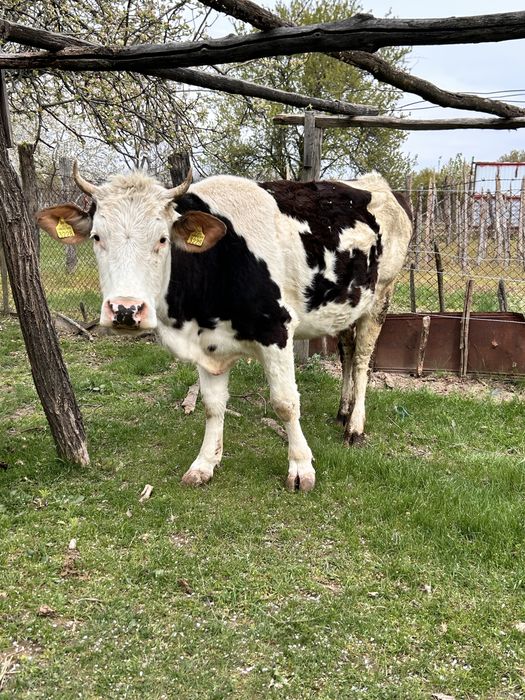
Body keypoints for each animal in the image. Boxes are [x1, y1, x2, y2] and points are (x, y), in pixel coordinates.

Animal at [37, 165, 412, 492]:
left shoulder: (277, 330)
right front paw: (205, 463)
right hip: (346, 303)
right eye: (97, 237)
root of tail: (377, 183)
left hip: (382, 294)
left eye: (162, 239)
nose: (126, 309)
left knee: (362, 360)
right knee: (347, 352)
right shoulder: (208, 343)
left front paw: (301, 468)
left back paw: (355, 425)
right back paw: (343, 410)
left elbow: (285, 402)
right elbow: (212, 405)